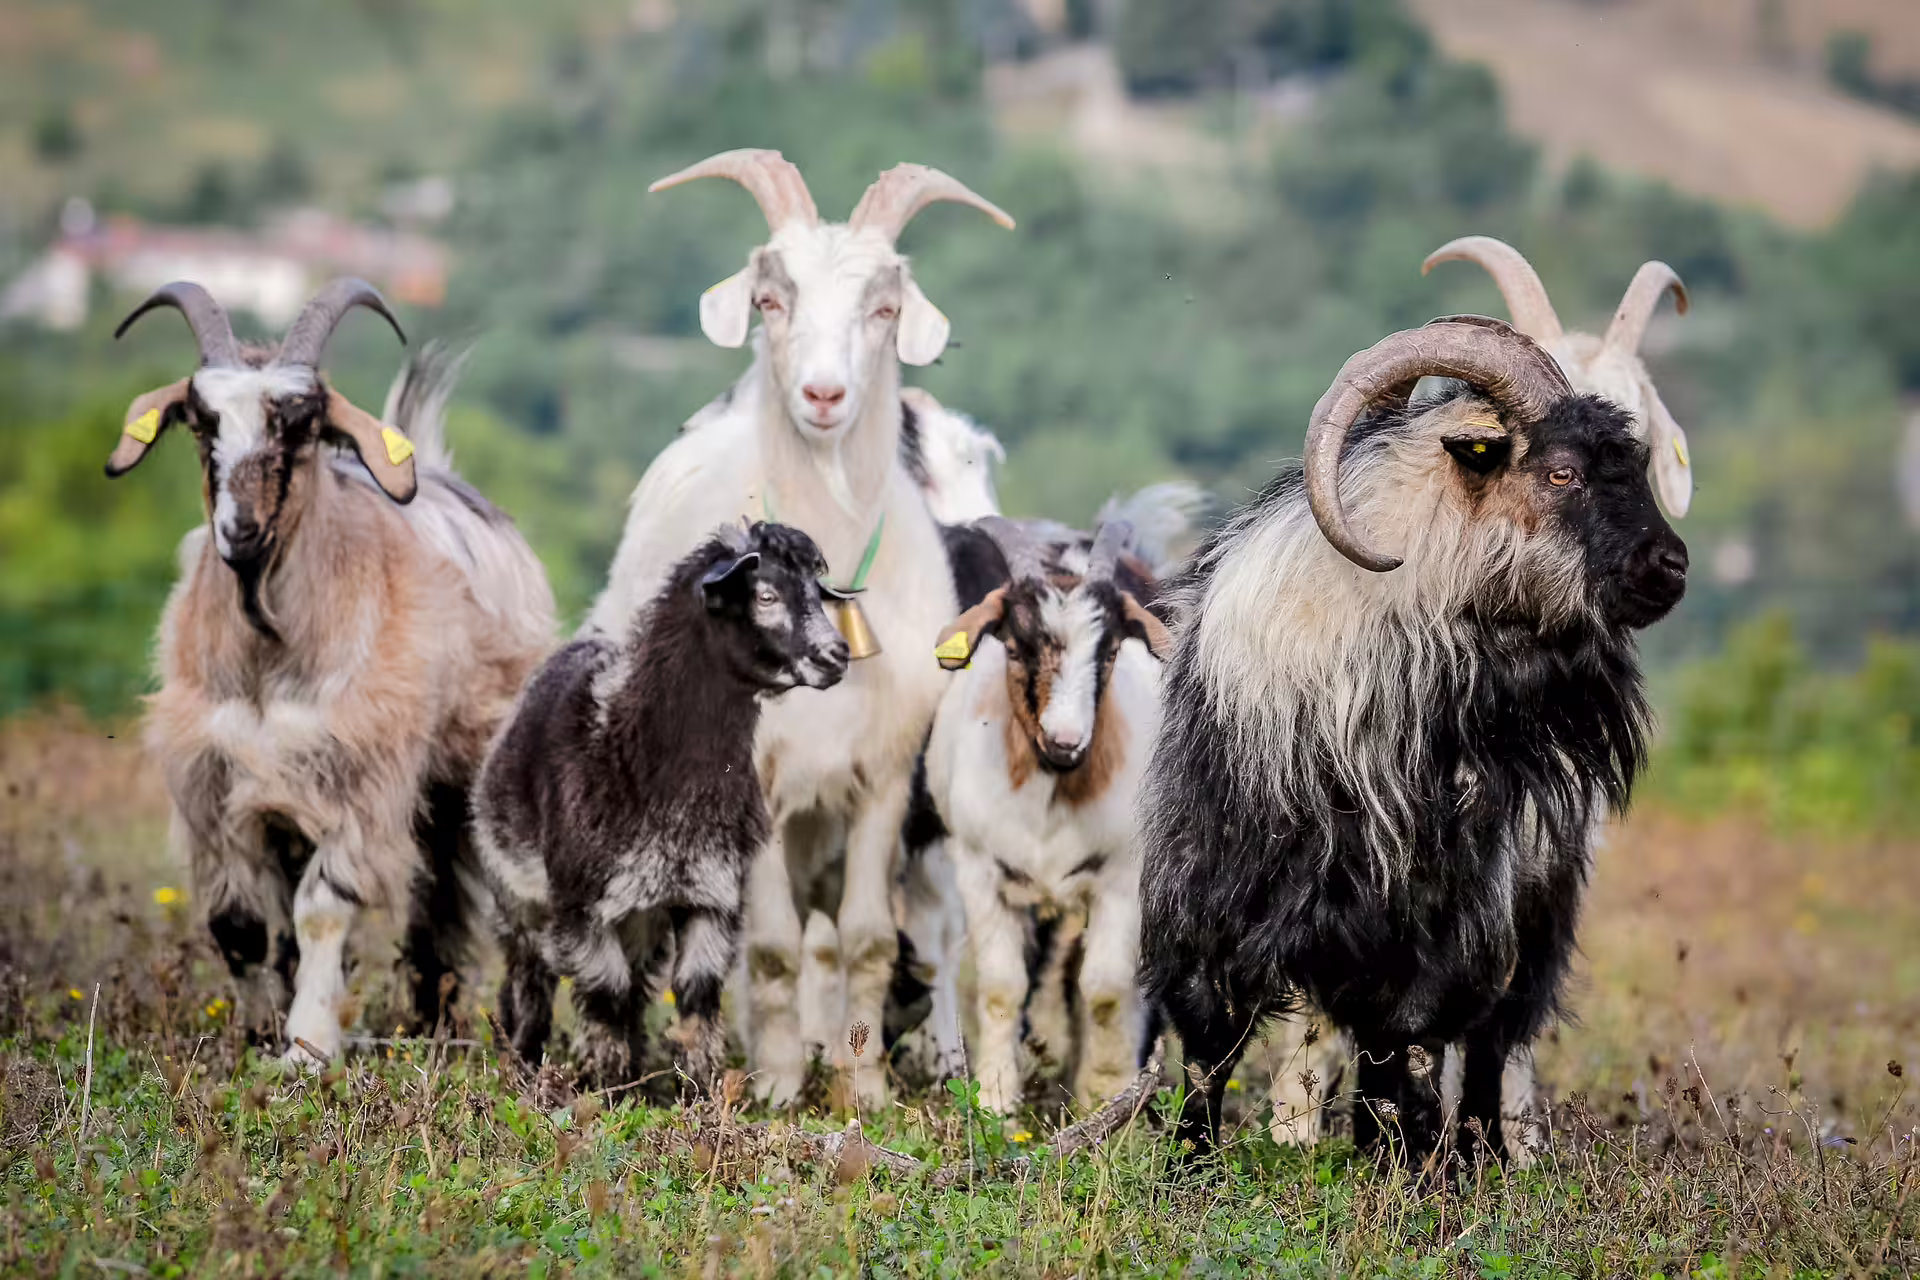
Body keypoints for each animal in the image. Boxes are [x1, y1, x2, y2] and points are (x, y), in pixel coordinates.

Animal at [110, 280, 555, 1064]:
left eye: (302, 421)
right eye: (201, 421)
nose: (241, 532)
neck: (267, 658)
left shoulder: (358, 778)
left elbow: (322, 908)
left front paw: (308, 1047)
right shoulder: (216, 783)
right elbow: (239, 924)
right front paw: (259, 1034)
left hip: (475, 766)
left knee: (476, 897)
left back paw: (508, 1039)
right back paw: (426, 1021)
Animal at [476, 522, 848, 1091]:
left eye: (816, 592)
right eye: (765, 595)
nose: (838, 655)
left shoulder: (711, 896)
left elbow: (695, 995)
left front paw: (698, 1090)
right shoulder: (581, 905)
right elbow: (604, 995)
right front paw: (604, 1090)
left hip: (641, 919)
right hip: (517, 899)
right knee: (530, 982)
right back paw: (520, 1059)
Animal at [584, 149, 1013, 1107]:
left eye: (885, 307)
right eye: (770, 299)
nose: (824, 393)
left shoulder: (886, 778)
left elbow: (865, 938)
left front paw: (864, 1088)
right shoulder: (760, 786)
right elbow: (773, 947)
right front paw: (780, 1087)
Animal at [923, 517, 1172, 1113]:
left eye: (1110, 652)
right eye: (1014, 648)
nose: (1065, 741)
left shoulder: (1122, 877)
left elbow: (1104, 989)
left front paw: (1103, 1097)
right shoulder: (979, 869)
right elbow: (1001, 986)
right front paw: (994, 1097)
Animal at [1138, 316, 1688, 1161]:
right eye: (1561, 473)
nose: (1672, 566)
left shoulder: (1446, 914)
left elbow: (1416, 1043)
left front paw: (1420, 1169)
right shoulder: (1211, 885)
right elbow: (1208, 1042)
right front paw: (1190, 1165)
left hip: (1537, 909)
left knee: (1490, 1041)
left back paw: (1482, 1151)